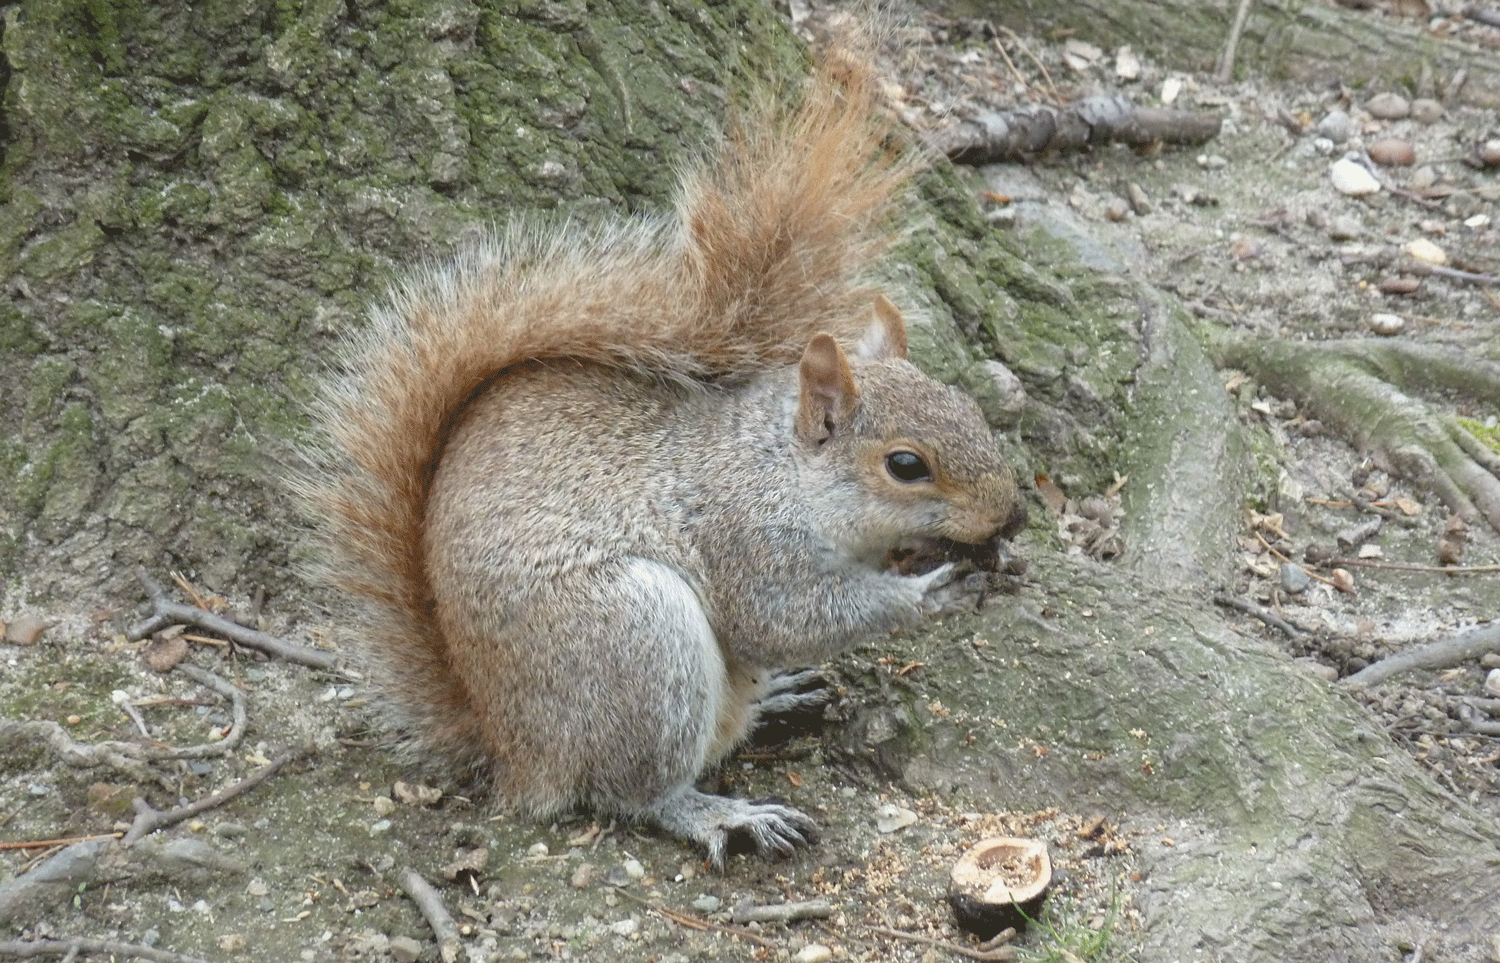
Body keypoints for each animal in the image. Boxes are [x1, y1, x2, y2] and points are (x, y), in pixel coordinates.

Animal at [301, 33, 1032, 864]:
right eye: (906, 465)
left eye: (968, 405)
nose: (1014, 516)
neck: (781, 469)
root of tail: (512, 751)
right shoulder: (745, 538)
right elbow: (782, 618)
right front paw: (928, 594)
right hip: (635, 644)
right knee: (631, 790)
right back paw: (719, 812)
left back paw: (777, 698)